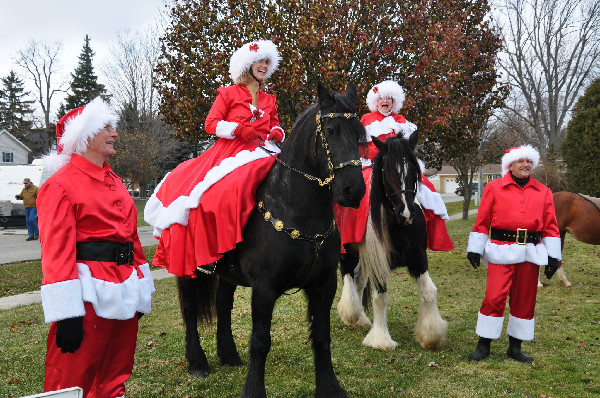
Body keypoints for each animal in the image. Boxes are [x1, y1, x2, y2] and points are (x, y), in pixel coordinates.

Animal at [177, 81, 366, 398]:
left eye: (359, 133)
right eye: (330, 131)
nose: (354, 190)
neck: (293, 206)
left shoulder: (324, 285)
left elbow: (321, 336)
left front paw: (329, 387)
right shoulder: (264, 289)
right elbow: (260, 341)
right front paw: (253, 390)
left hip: (227, 274)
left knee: (222, 304)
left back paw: (228, 355)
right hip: (188, 268)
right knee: (190, 309)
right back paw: (197, 363)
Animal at [336, 135, 448, 350]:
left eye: (413, 171)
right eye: (387, 173)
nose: (406, 214)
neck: (396, 225)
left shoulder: (418, 257)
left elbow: (429, 292)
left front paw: (431, 335)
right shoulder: (378, 262)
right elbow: (380, 298)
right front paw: (381, 339)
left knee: (358, 279)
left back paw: (361, 318)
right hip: (347, 250)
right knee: (348, 276)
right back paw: (352, 313)